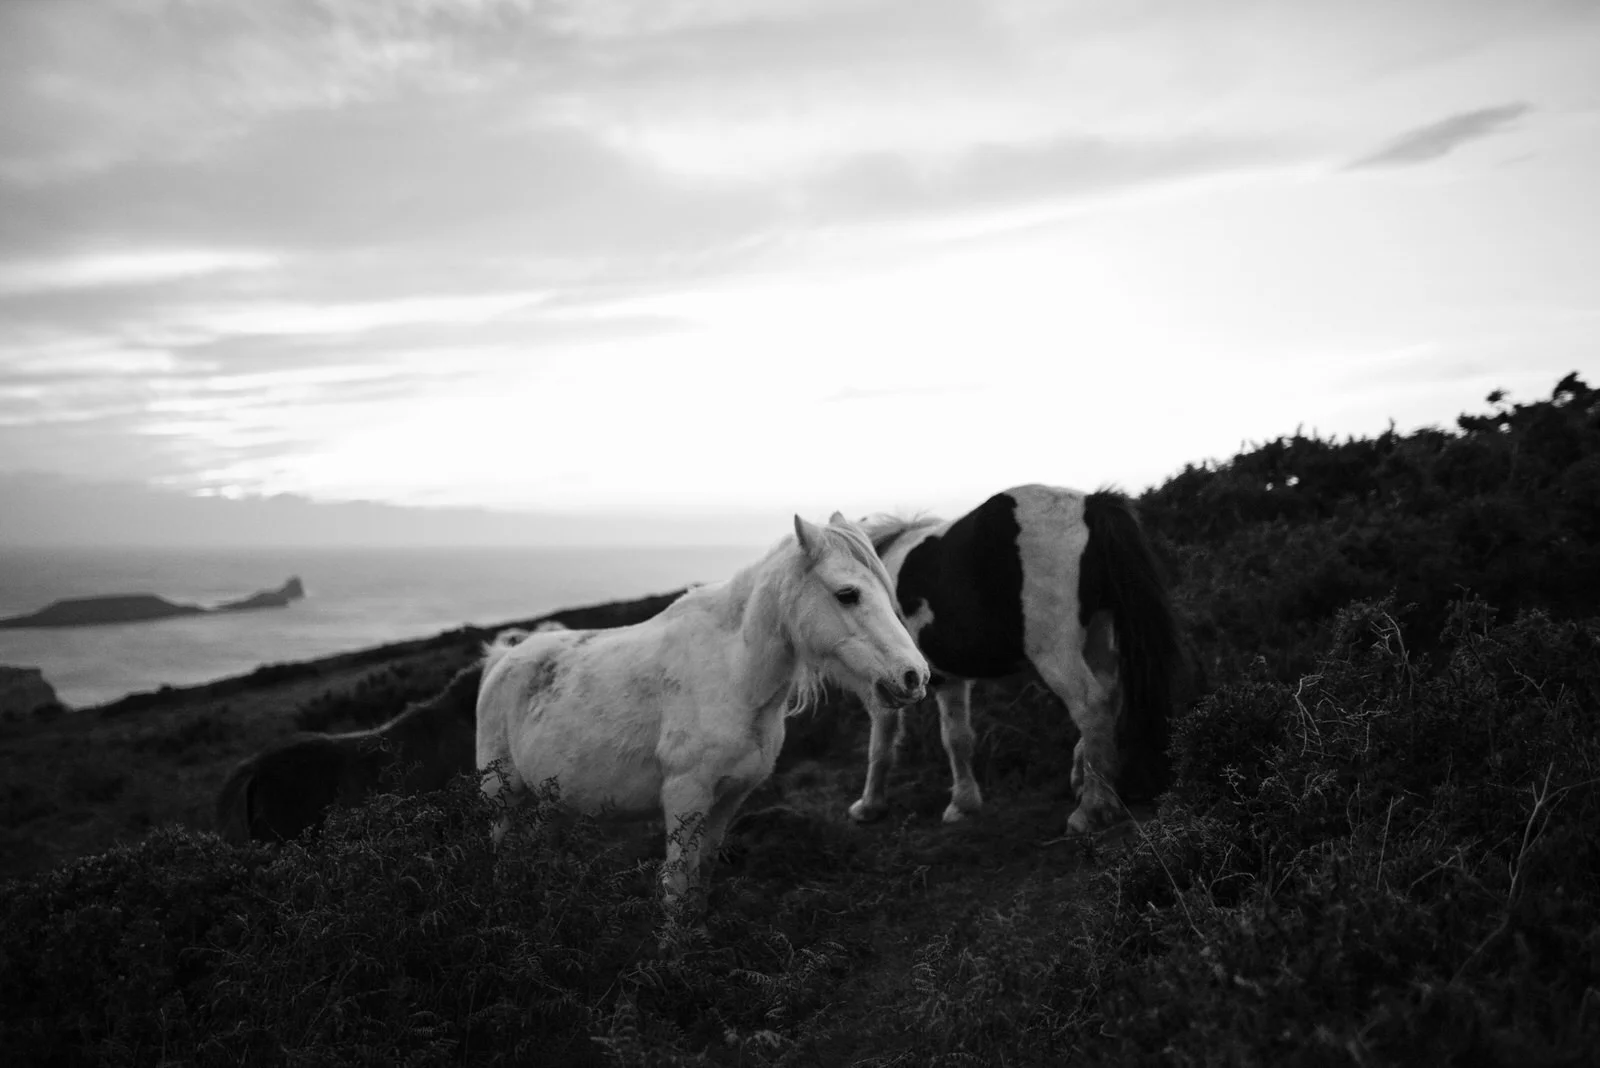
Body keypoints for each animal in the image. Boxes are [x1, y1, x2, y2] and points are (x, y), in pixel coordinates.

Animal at [475, 513, 930, 901]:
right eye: (847, 594)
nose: (915, 676)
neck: (733, 676)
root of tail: (504, 658)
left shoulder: (730, 797)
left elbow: (702, 873)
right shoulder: (685, 796)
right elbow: (678, 883)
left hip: (548, 801)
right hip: (501, 795)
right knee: (500, 853)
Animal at [853, 485, 1181, 835]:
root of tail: (1092, 505)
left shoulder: (887, 683)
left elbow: (881, 742)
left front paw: (869, 806)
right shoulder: (949, 680)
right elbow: (957, 738)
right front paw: (963, 804)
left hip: (1056, 652)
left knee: (1092, 705)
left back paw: (1091, 809)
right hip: (1099, 636)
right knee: (1111, 695)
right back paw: (1088, 782)